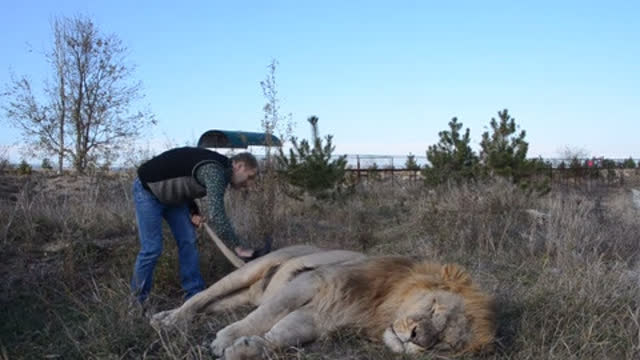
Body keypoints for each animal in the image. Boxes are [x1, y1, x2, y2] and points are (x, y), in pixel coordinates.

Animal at [151, 243, 496, 358]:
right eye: (434, 307)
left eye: (443, 344)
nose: (415, 338)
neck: (379, 308)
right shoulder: (312, 283)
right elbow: (264, 317)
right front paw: (226, 339)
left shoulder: (321, 316)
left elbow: (282, 334)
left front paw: (247, 349)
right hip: (253, 269)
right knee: (200, 297)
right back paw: (168, 320)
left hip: (243, 296)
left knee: (211, 305)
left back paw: (167, 318)